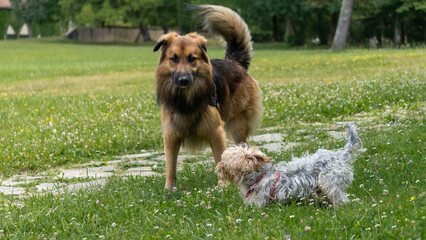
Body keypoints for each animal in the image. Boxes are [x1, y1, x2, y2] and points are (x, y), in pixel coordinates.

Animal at [153, 4, 260, 190]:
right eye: (173, 59)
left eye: (192, 58)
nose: (183, 80)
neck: (186, 99)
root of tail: (234, 63)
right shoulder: (170, 135)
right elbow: (170, 165)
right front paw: (169, 189)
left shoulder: (215, 131)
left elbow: (220, 159)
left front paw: (223, 186)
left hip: (238, 126)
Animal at [216, 123, 362, 207]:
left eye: (225, 163)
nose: (217, 167)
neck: (259, 176)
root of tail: (340, 155)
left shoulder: (258, 203)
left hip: (329, 182)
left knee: (342, 198)